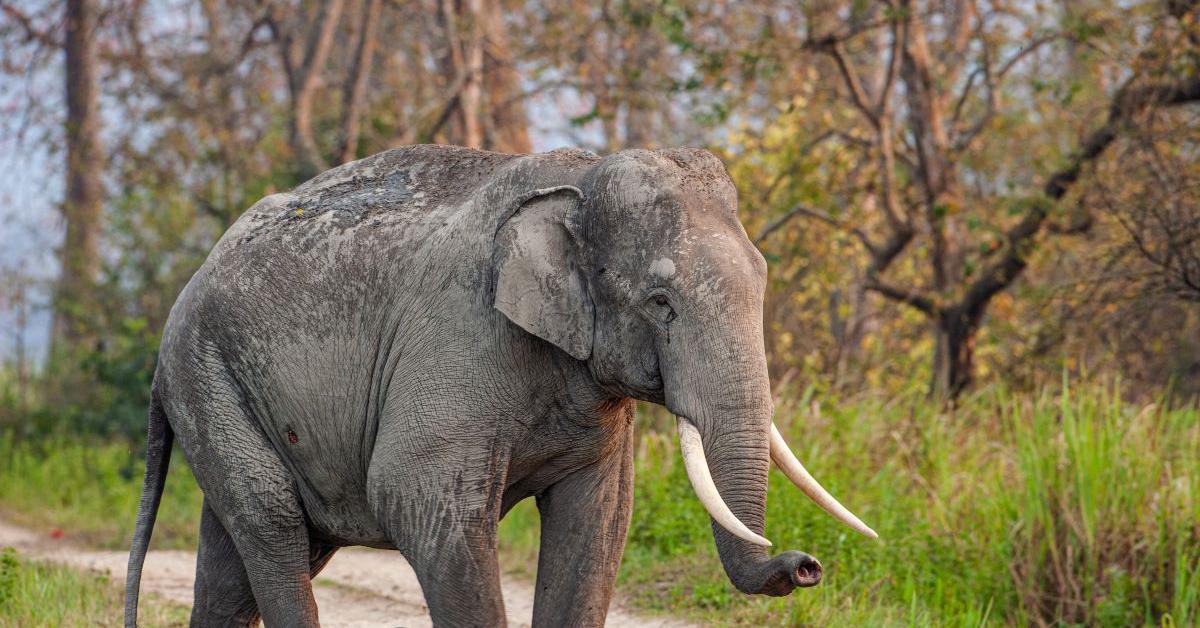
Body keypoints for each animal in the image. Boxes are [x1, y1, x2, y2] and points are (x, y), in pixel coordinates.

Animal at [124, 145, 873, 624]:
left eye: (764, 277)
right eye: (661, 302)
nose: (805, 564)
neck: (579, 179)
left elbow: (598, 524)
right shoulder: (457, 340)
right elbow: (418, 500)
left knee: (238, 565)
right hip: (205, 376)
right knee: (274, 526)